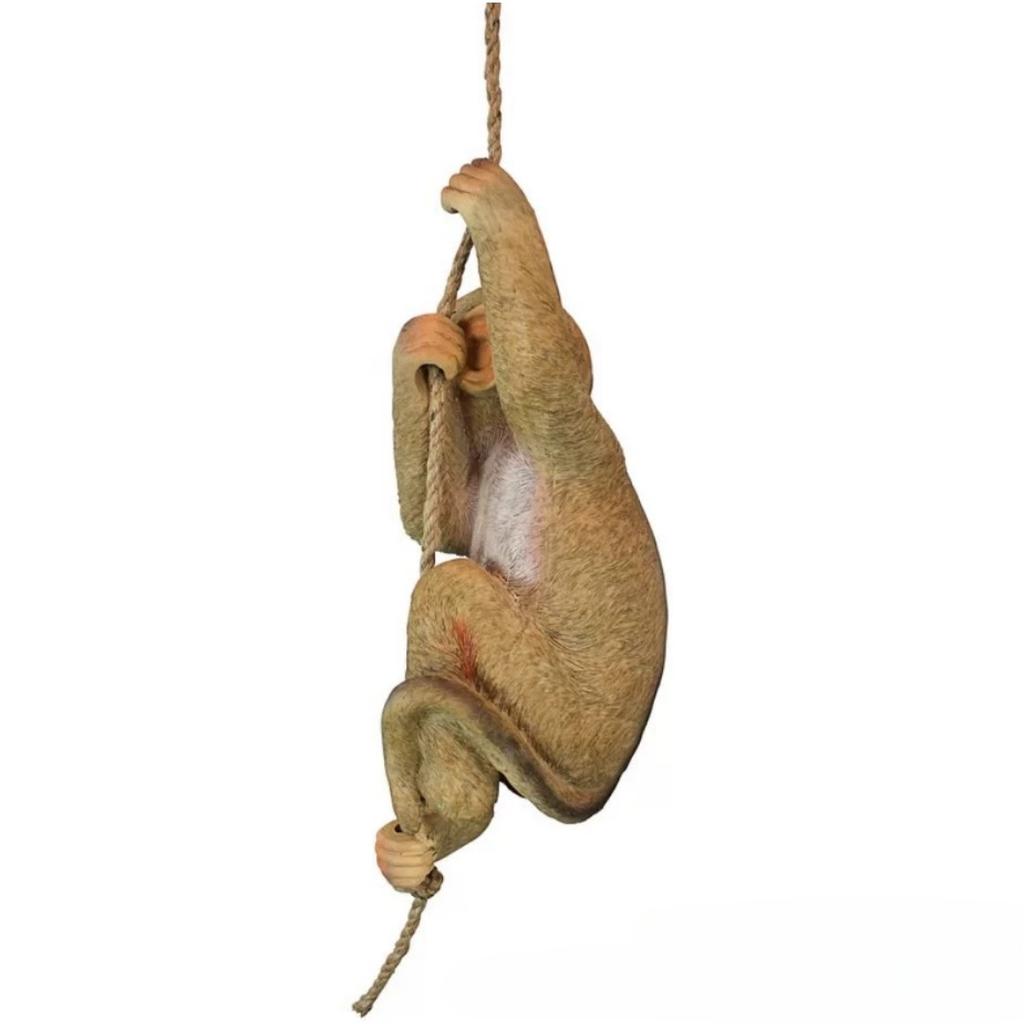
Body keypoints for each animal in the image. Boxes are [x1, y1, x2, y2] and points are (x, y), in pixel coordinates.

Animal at [375, 158, 667, 892]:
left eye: (486, 334)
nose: (471, 348)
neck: (509, 434)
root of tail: (599, 784)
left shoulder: (562, 431)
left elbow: (540, 372)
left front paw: (494, 201)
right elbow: (445, 519)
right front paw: (416, 347)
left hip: (560, 716)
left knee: (452, 589)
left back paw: (457, 820)